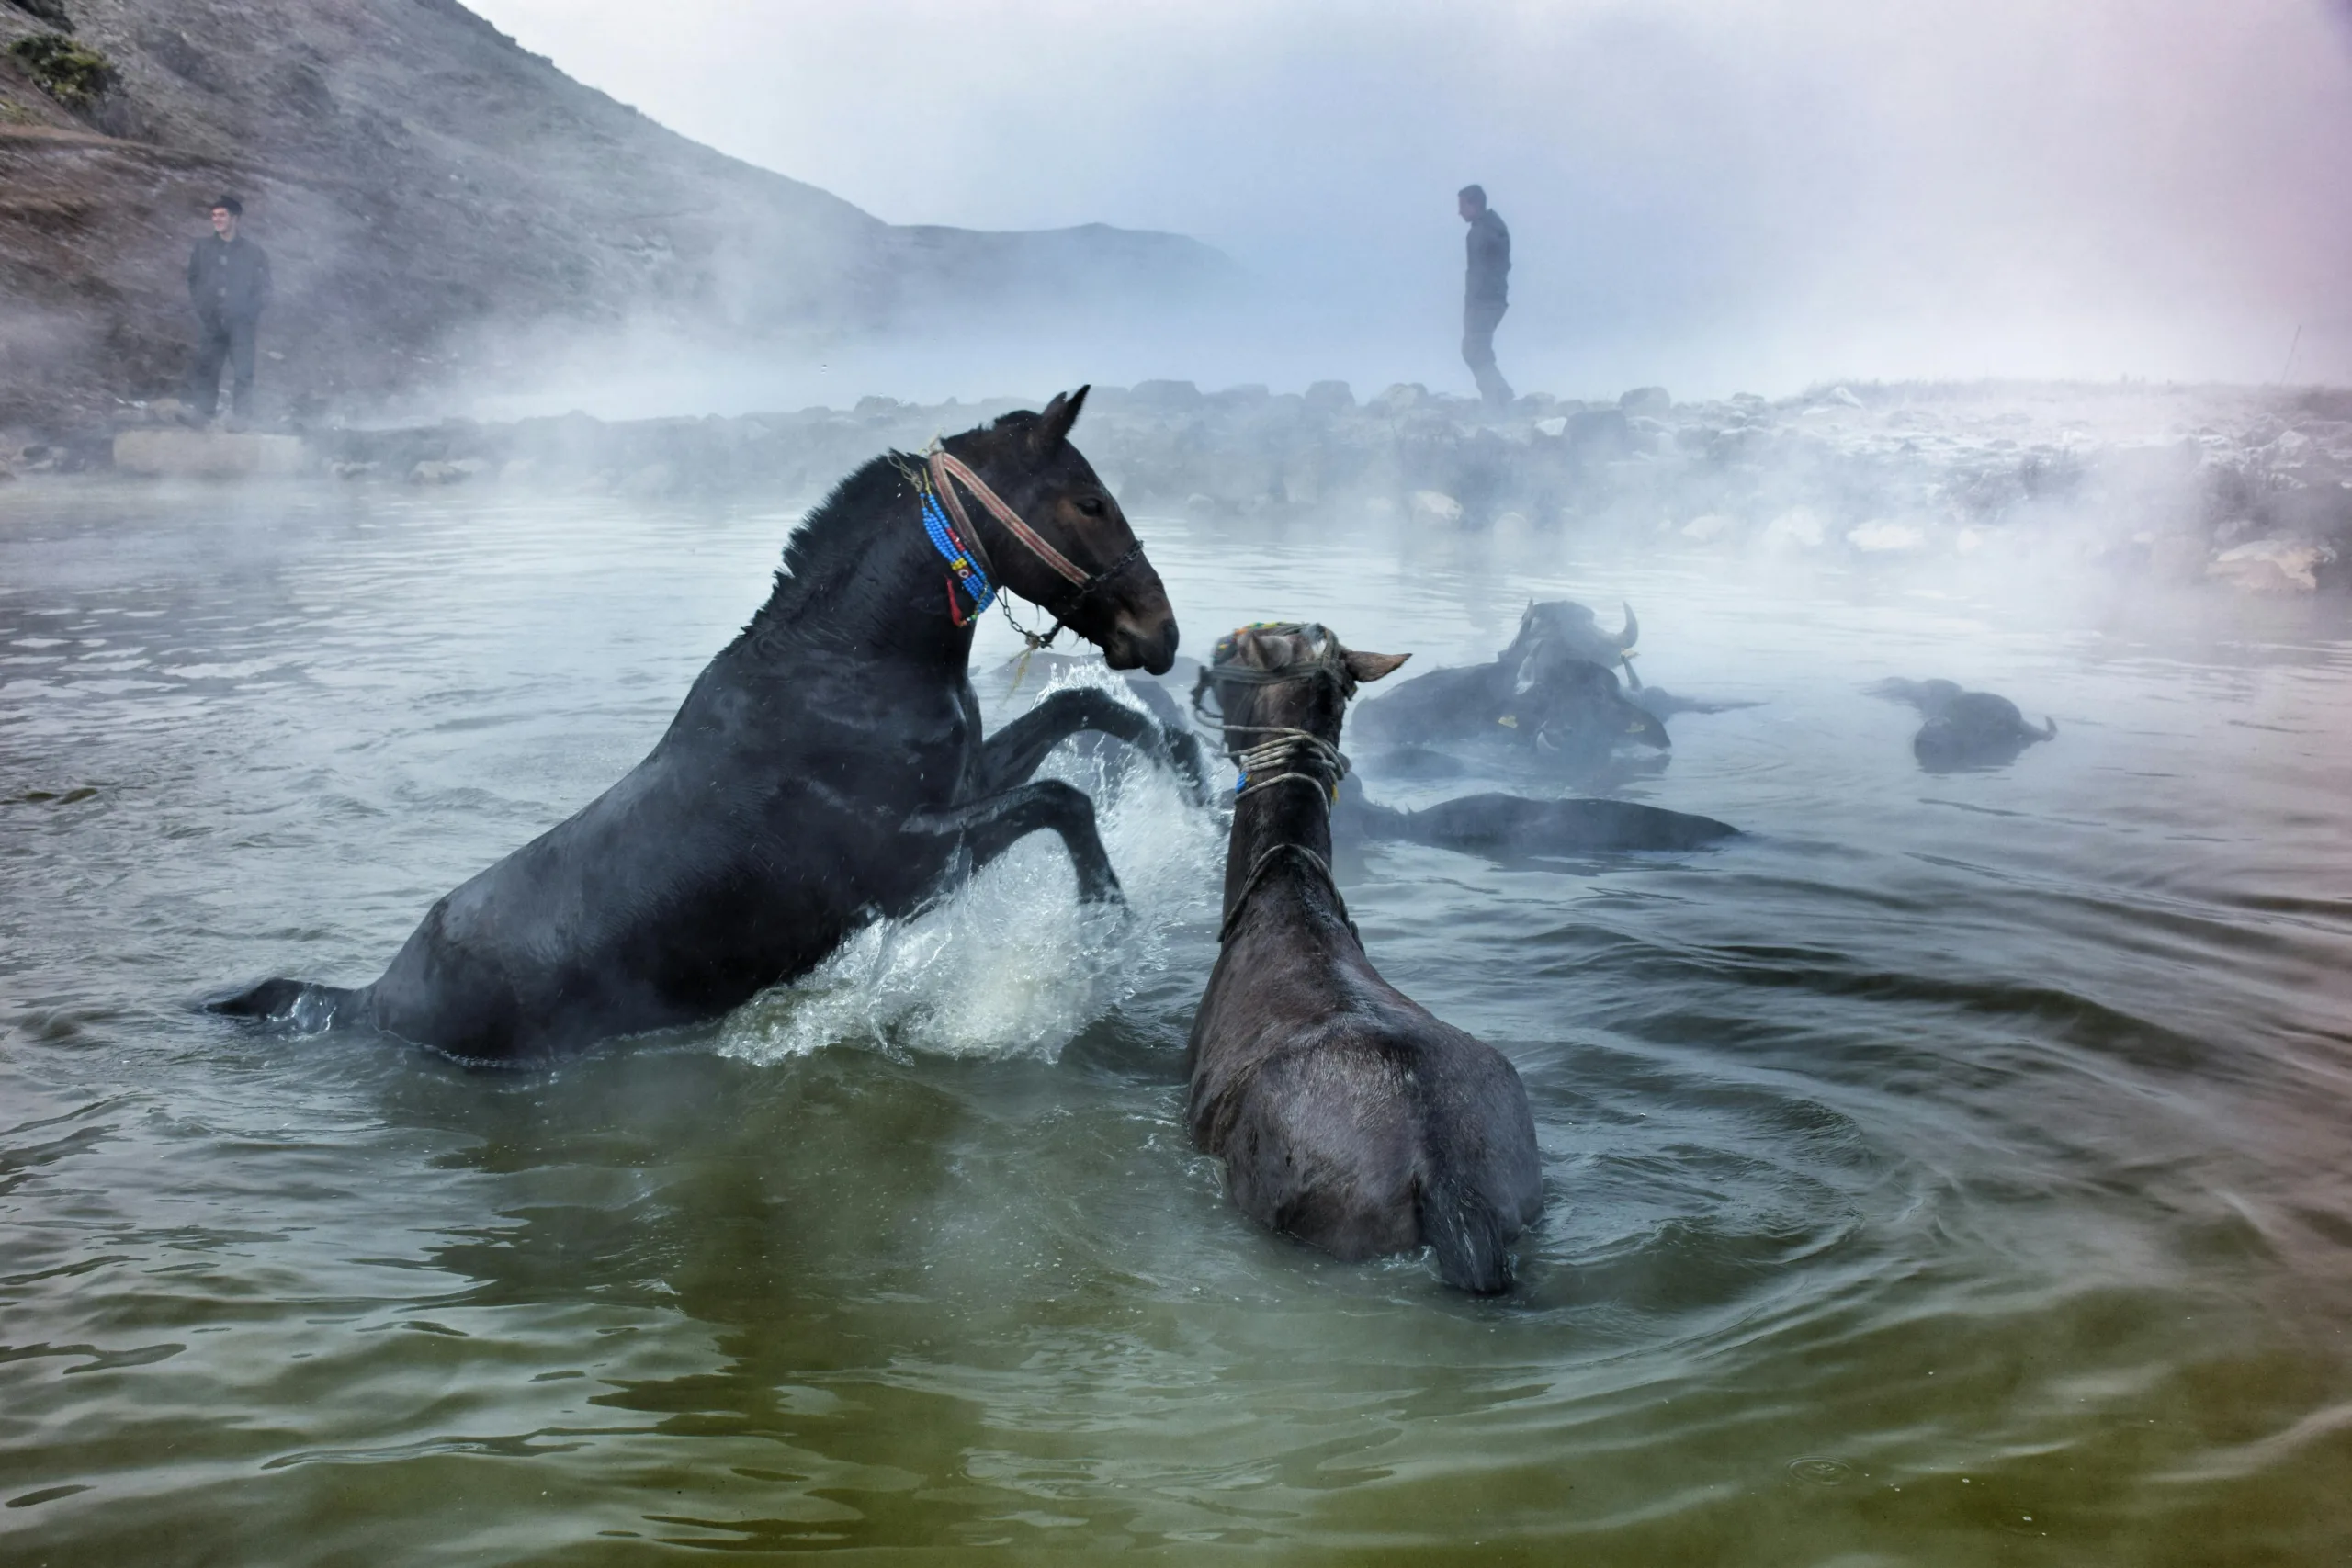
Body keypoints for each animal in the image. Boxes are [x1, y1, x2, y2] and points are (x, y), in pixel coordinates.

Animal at [209, 385, 1204, 1062]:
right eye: (1088, 502)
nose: (1161, 633)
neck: (852, 665)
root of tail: (374, 1000)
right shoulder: (907, 867)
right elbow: (1062, 798)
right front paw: (1108, 918)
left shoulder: (961, 789)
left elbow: (1081, 715)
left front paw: (1185, 771)